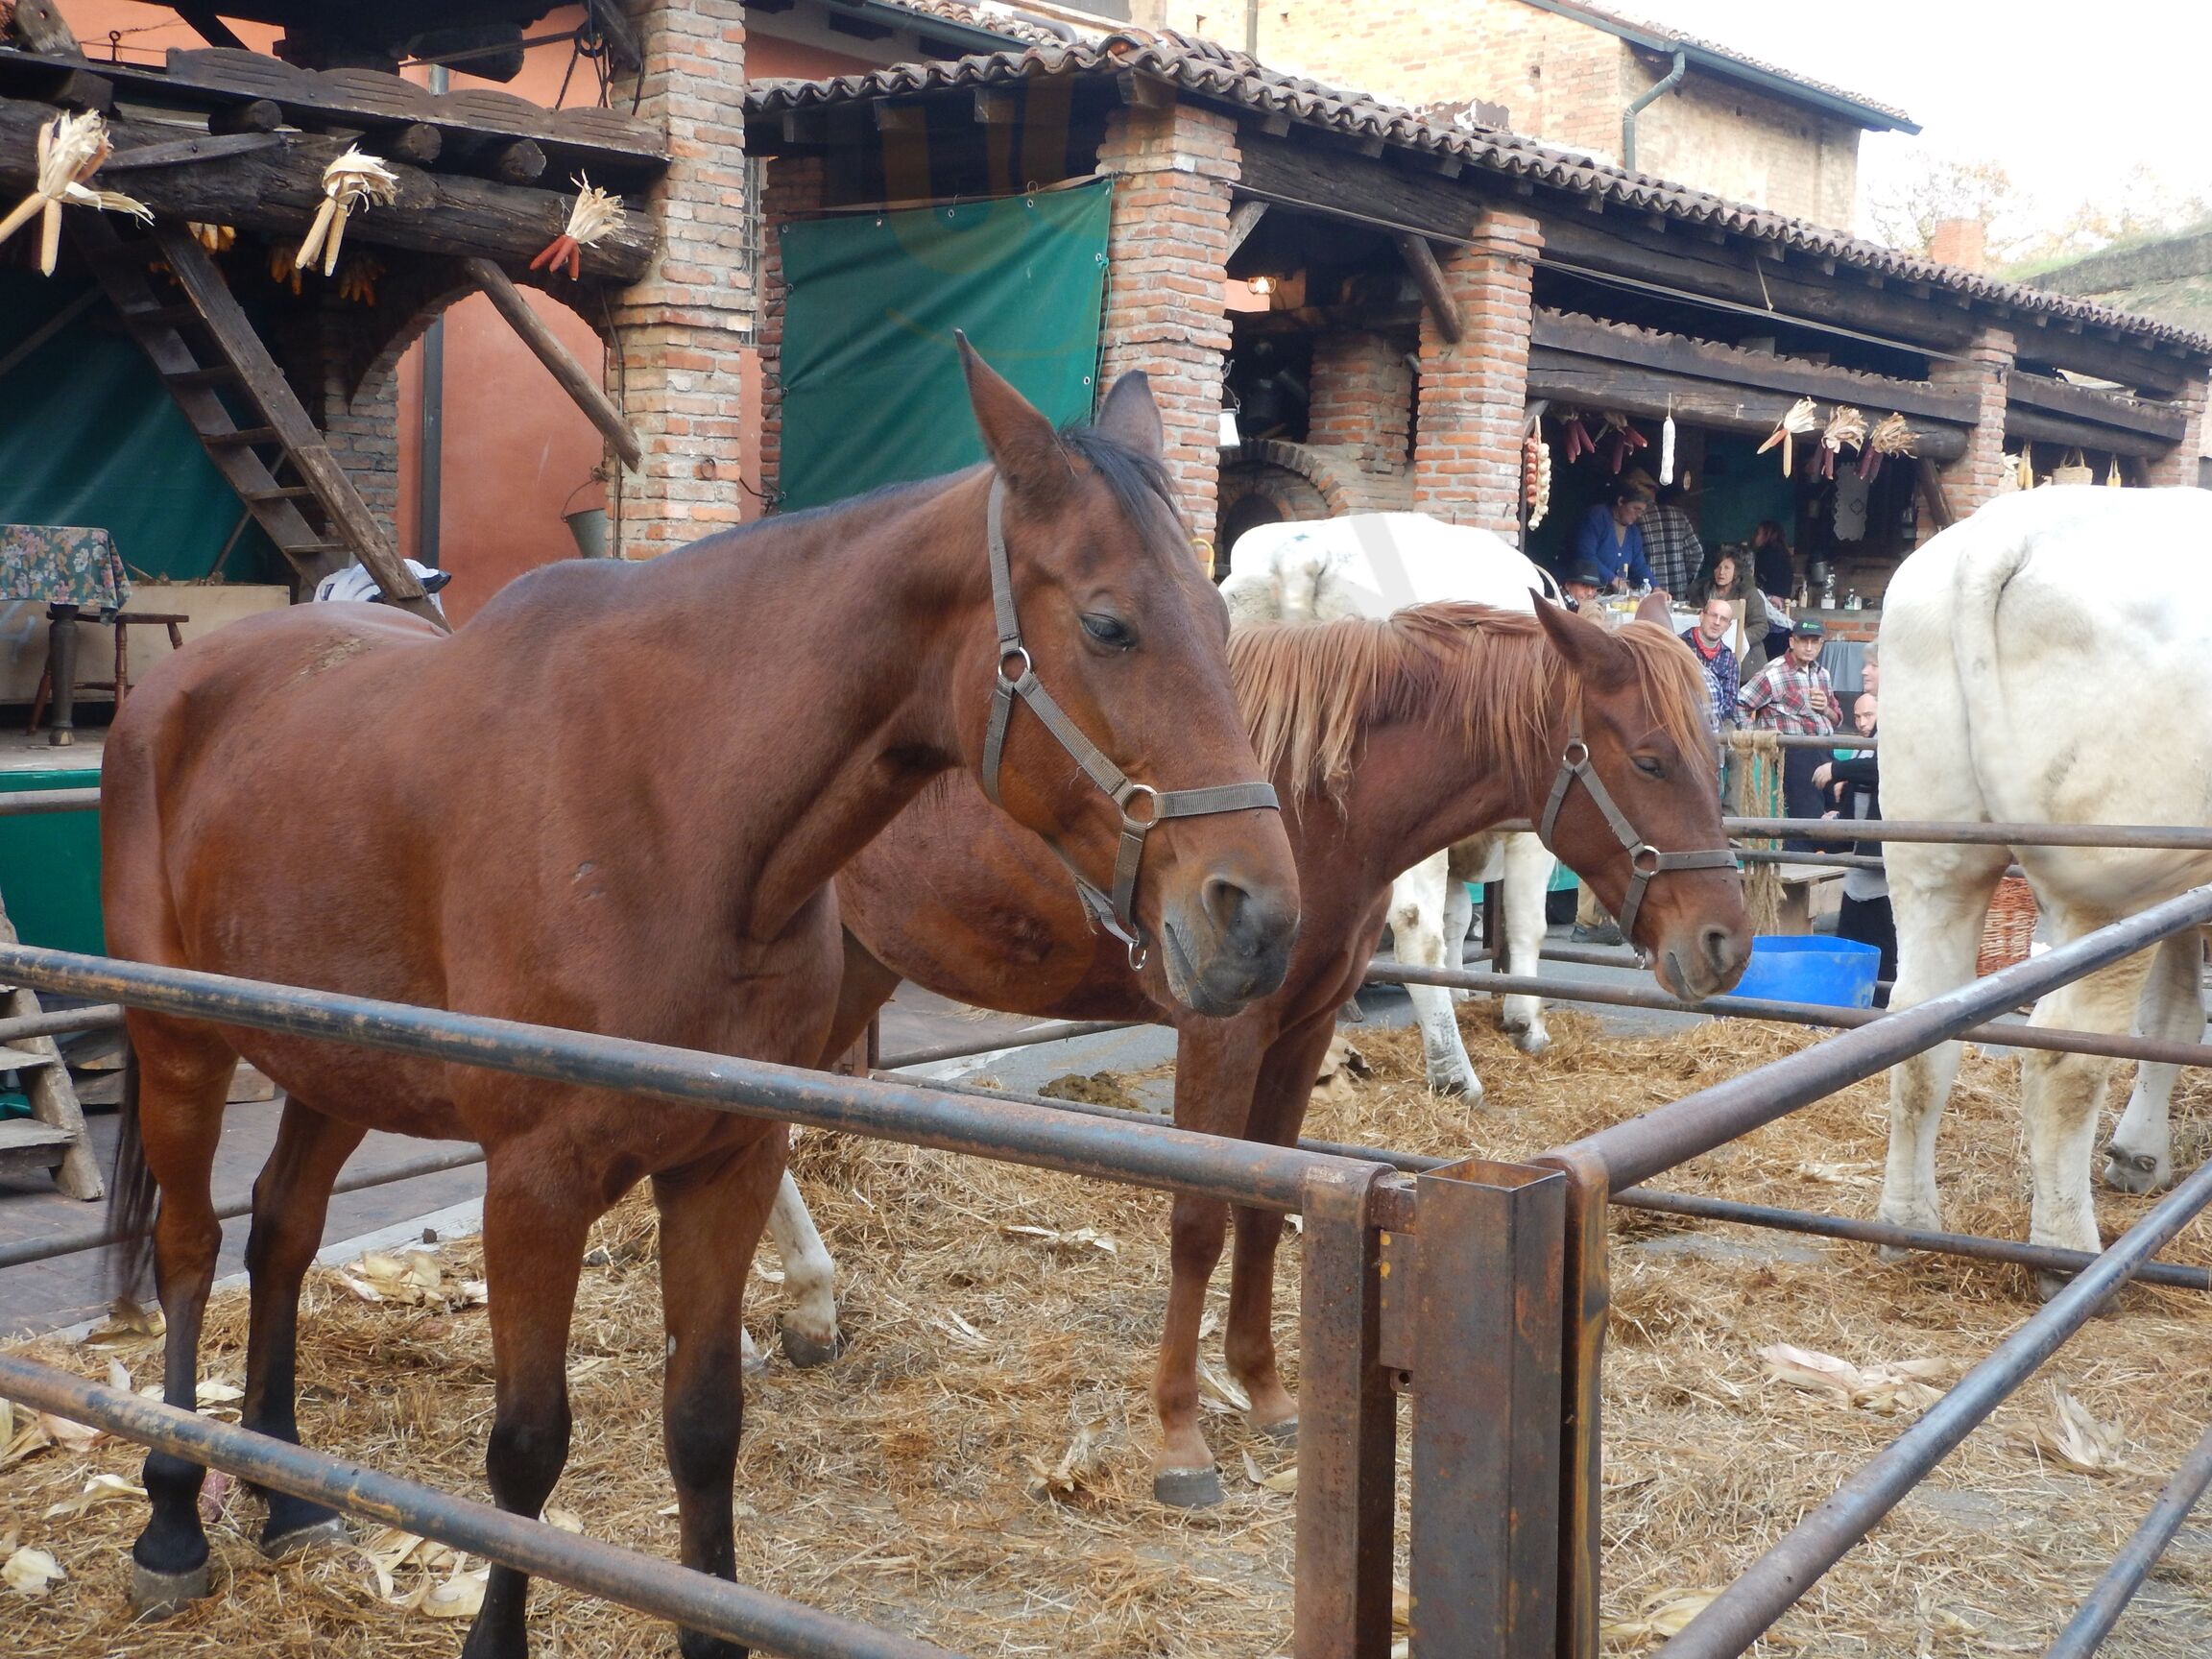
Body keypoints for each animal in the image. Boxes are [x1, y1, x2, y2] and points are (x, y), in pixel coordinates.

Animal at [104, 345, 1300, 1654]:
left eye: (1223, 617)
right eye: (1107, 623)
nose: (1258, 916)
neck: (673, 814)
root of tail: (177, 682)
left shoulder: (729, 1160)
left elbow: (706, 1423)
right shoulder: (534, 1184)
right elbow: (526, 1450)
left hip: (333, 1061)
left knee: (281, 1231)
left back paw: (288, 1496)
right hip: (181, 1044)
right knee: (190, 1250)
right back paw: (172, 1522)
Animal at [796, 601, 1743, 1503]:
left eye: (1712, 756)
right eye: (1651, 761)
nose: (1726, 943)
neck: (1305, 804)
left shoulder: (1302, 1031)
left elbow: (1263, 1205)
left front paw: (1269, 1395)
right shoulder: (1225, 1034)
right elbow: (1198, 1221)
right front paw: (1180, 1436)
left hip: (854, 972)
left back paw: (810, 1314)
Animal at [1220, 513, 1566, 1096]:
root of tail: (1304, 551)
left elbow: (1459, 917)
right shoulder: (1529, 832)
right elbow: (1524, 923)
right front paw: (1527, 1022)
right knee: (1416, 930)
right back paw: (1453, 1073)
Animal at [1875, 484, 2212, 1300]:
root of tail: (2009, 528)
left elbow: (2175, 1015)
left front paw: (2141, 1153)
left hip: (1933, 856)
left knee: (1920, 1027)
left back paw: (1907, 1226)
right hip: (2117, 882)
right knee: (2066, 1059)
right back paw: (2066, 1254)